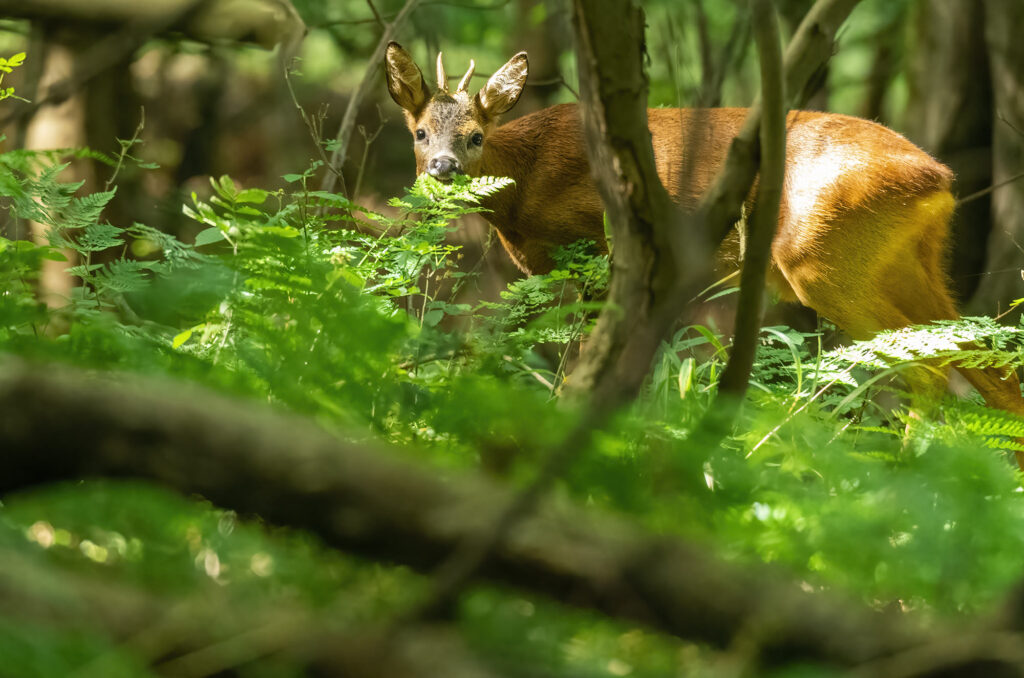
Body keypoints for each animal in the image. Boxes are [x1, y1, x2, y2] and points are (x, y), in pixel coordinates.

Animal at [382, 39, 1024, 450]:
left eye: (474, 136)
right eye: (420, 132)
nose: (441, 166)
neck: (525, 181)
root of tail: (938, 179)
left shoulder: (600, 251)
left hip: (822, 259)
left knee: (932, 367)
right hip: (909, 263)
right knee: (987, 363)